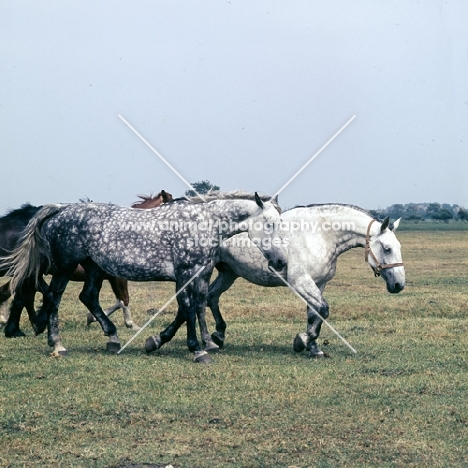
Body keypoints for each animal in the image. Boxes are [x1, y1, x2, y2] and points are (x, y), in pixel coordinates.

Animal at [3, 191, 288, 362]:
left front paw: (205, 342)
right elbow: (188, 307)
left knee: (88, 297)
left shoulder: (199, 274)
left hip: (94, 269)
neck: (204, 222)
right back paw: (57, 344)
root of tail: (61, 209)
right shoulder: (185, 273)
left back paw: (112, 338)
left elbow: (198, 305)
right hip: (65, 267)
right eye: (270, 224)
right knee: (53, 299)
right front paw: (196, 348)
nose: (281, 261)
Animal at [203, 203, 404, 356]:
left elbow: (314, 314)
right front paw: (303, 341)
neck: (320, 235)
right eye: (387, 248)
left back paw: (218, 336)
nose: (399, 285)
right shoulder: (300, 283)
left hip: (228, 274)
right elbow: (323, 309)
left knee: (212, 297)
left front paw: (313, 348)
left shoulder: (318, 284)